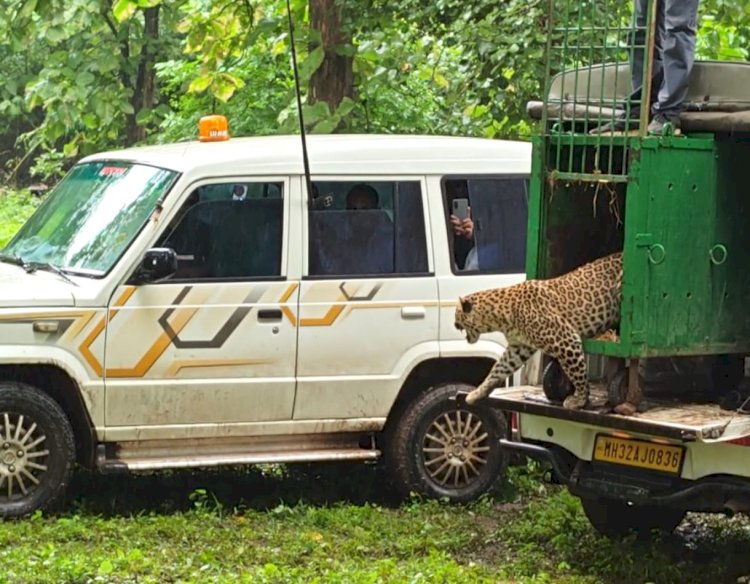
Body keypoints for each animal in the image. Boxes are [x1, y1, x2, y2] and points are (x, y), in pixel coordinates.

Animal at [455, 252, 623, 410]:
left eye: (456, 314)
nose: (454, 324)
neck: (501, 316)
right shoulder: (519, 347)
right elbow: (498, 369)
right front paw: (477, 393)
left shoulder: (566, 340)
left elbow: (577, 372)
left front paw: (580, 399)